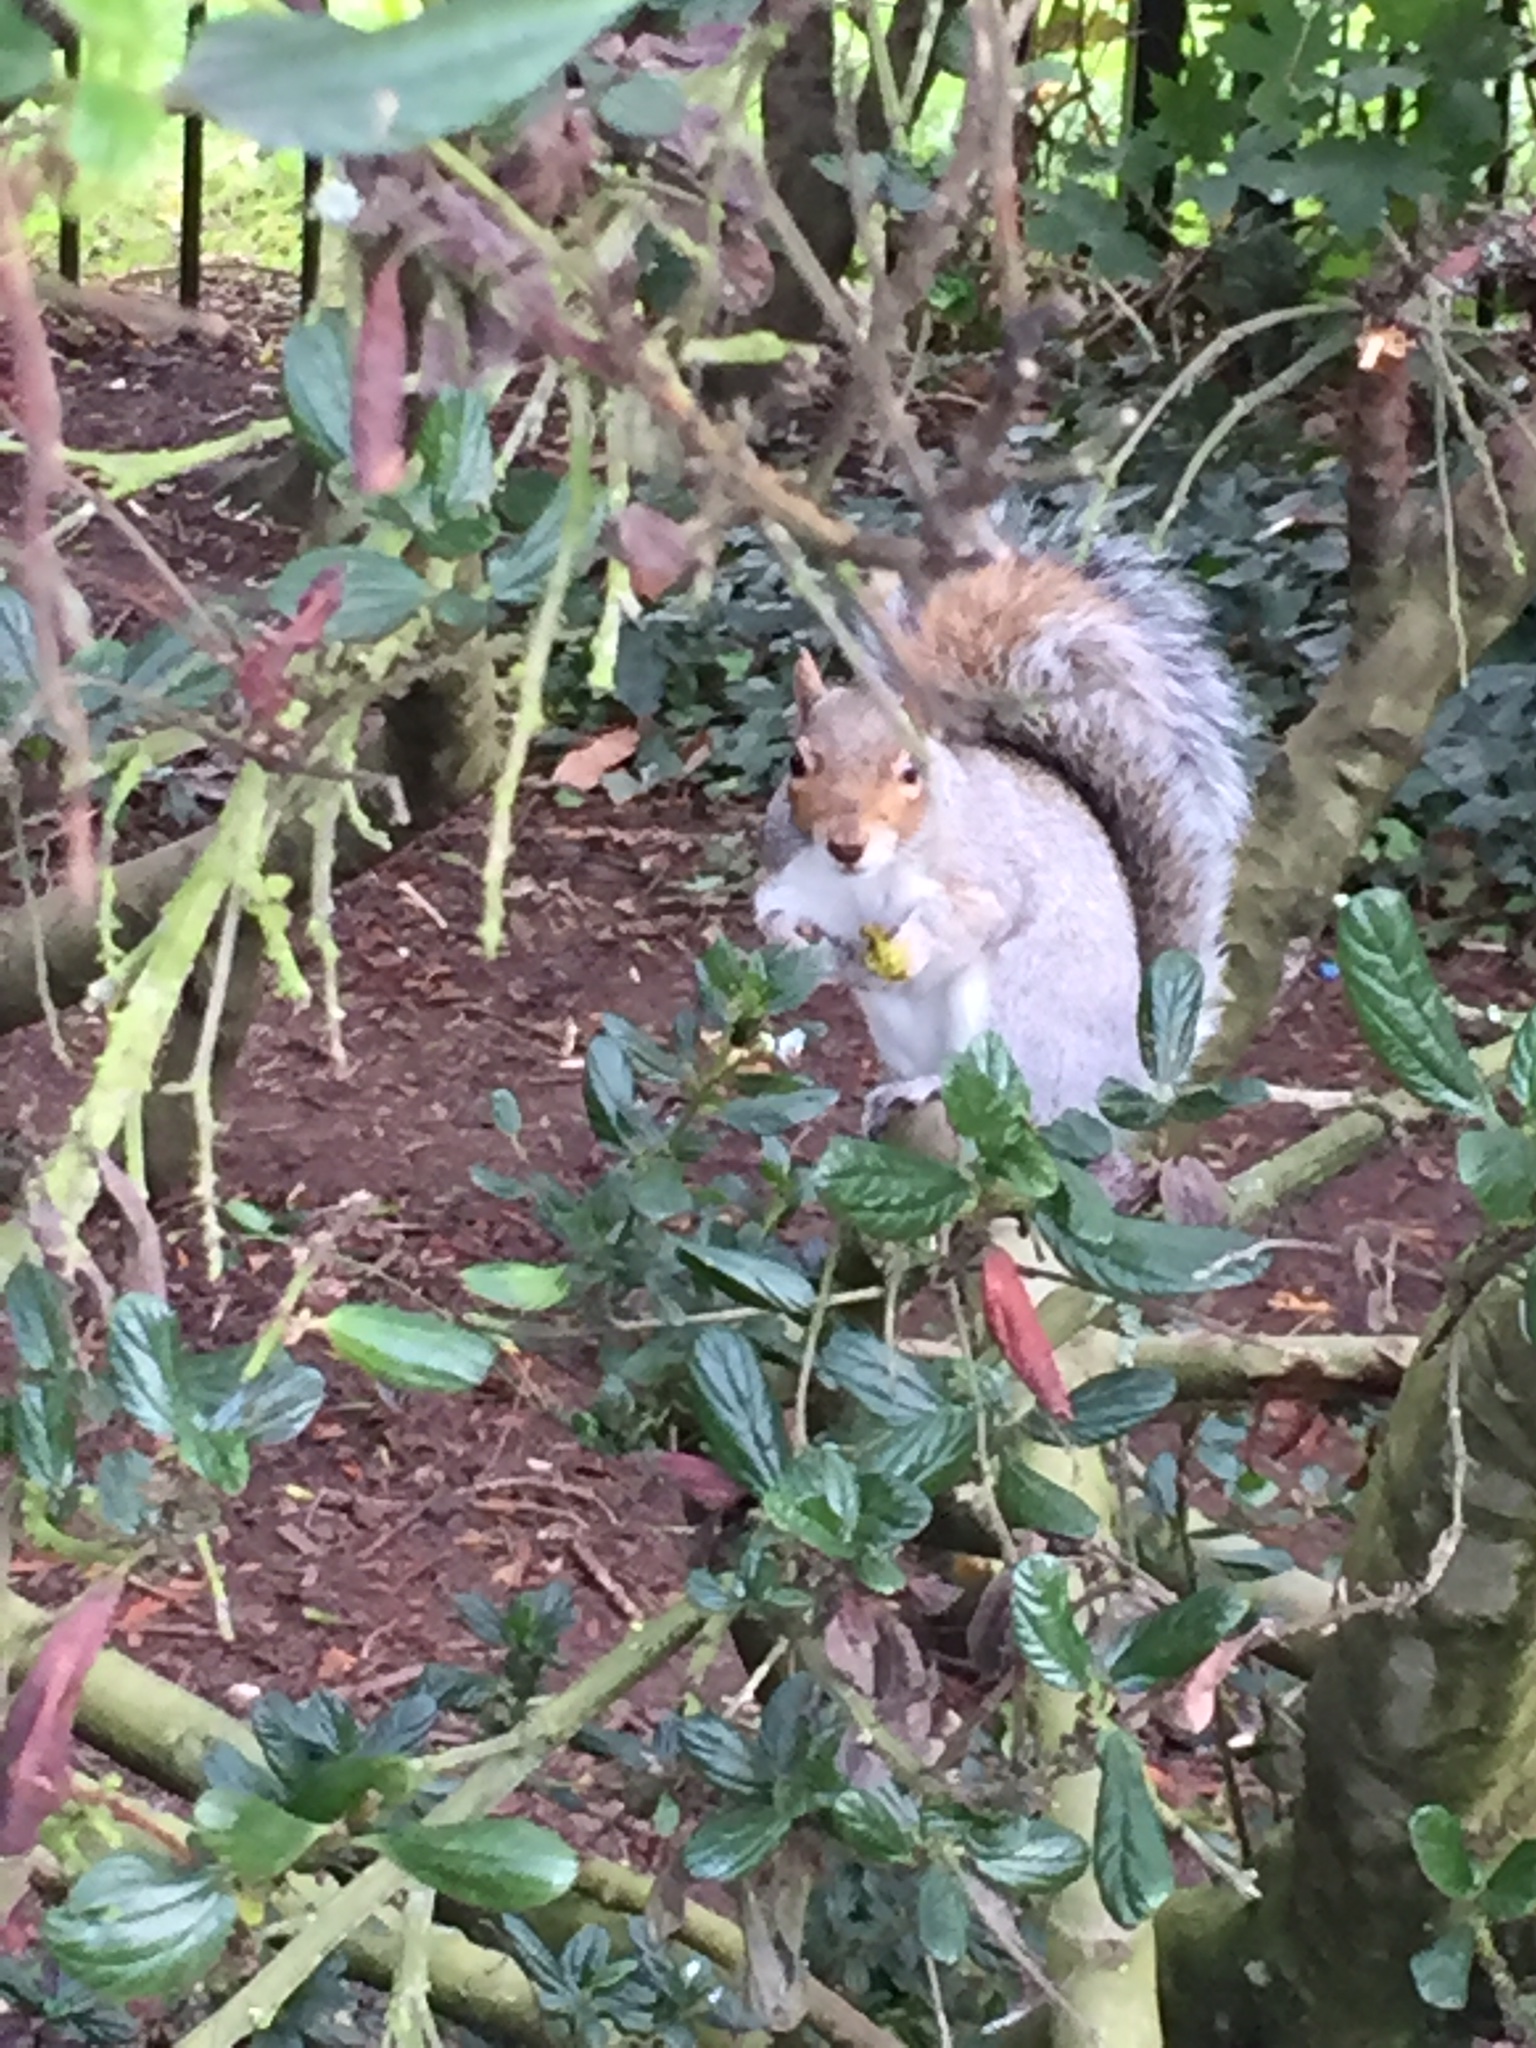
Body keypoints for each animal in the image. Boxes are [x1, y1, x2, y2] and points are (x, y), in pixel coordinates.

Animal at [753, 503, 1253, 1130]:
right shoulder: (788, 868)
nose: (846, 845)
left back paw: (932, 1088)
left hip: (1010, 1017)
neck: (864, 880)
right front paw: (793, 940)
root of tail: (1128, 1077)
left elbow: (977, 915)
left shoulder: (986, 870)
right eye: (797, 763)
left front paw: (914, 944)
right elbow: (768, 910)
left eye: (911, 772)